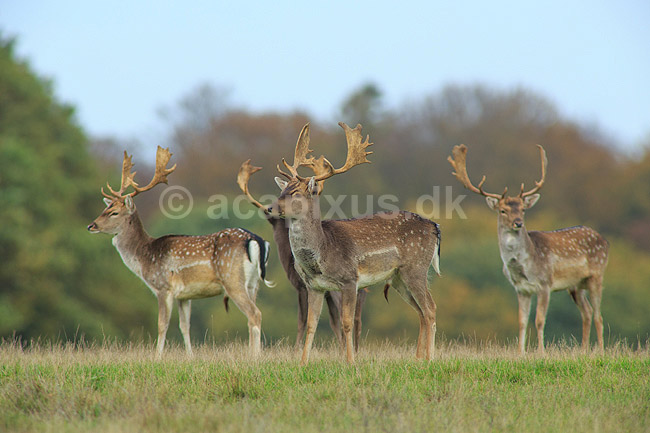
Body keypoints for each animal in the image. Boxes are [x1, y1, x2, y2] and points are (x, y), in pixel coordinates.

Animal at [87, 146, 273, 357]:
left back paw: (255, 357)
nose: (91, 225)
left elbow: (162, 325)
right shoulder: (185, 295)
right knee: (253, 314)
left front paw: (157, 357)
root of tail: (256, 240)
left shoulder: (163, 287)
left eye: (114, 212)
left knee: (254, 313)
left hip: (232, 280)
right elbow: (185, 326)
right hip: (254, 283)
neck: (144, 257)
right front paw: (190, 356)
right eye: (105, 208)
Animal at [237, 130, 368, 351]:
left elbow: (303, 319)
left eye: (295, 193)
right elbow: (330, 320)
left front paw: (297, 347)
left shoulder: (301, 286)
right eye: (281, 191)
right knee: (357, 318)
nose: (269, 209)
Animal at [267, 122, 441, 365]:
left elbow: (347, 322)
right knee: (420, 311)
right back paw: (418, 358)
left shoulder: (349, 279)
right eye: (282, 190)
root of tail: (434, 227)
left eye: (296, 193)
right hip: (399, 278)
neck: (322, 253)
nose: (269, 208)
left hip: (416, 267)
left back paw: (430, 358)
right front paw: (302, 363)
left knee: (430, 308)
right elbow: (311, 325)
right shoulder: (314, 286)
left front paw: (350, 361)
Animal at [448, 144, 609, 354]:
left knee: (598, 315)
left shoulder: (545, 283)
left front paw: (541, 352)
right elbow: (522, 321)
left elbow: (539, 320)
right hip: (575, 285)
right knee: (587, 313)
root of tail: (605, 240)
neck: (524, 265)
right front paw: (520, 352)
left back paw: (600, 351)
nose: (518, 222)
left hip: (596, 275)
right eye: (503, 210)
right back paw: (583, 351)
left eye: (523, 209)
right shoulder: (521, 289)